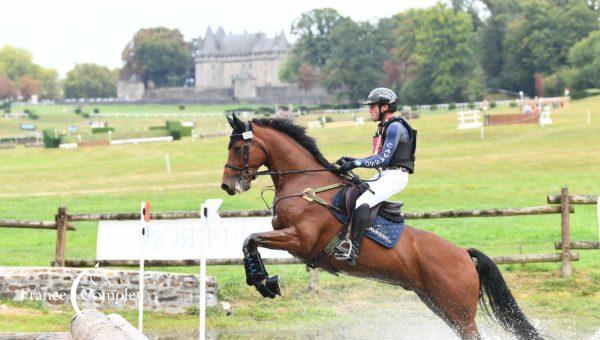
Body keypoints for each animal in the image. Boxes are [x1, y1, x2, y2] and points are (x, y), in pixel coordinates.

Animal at [220, 115, 544, 340]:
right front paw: (264, 280)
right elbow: (249, 241)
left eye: (236, 147)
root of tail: (464, 255)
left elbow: (250, 238)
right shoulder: (293, 241)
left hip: (459, 311)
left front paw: (264, 281)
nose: (227, 186)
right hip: (439, 304)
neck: (305, 183)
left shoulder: (301, 239)